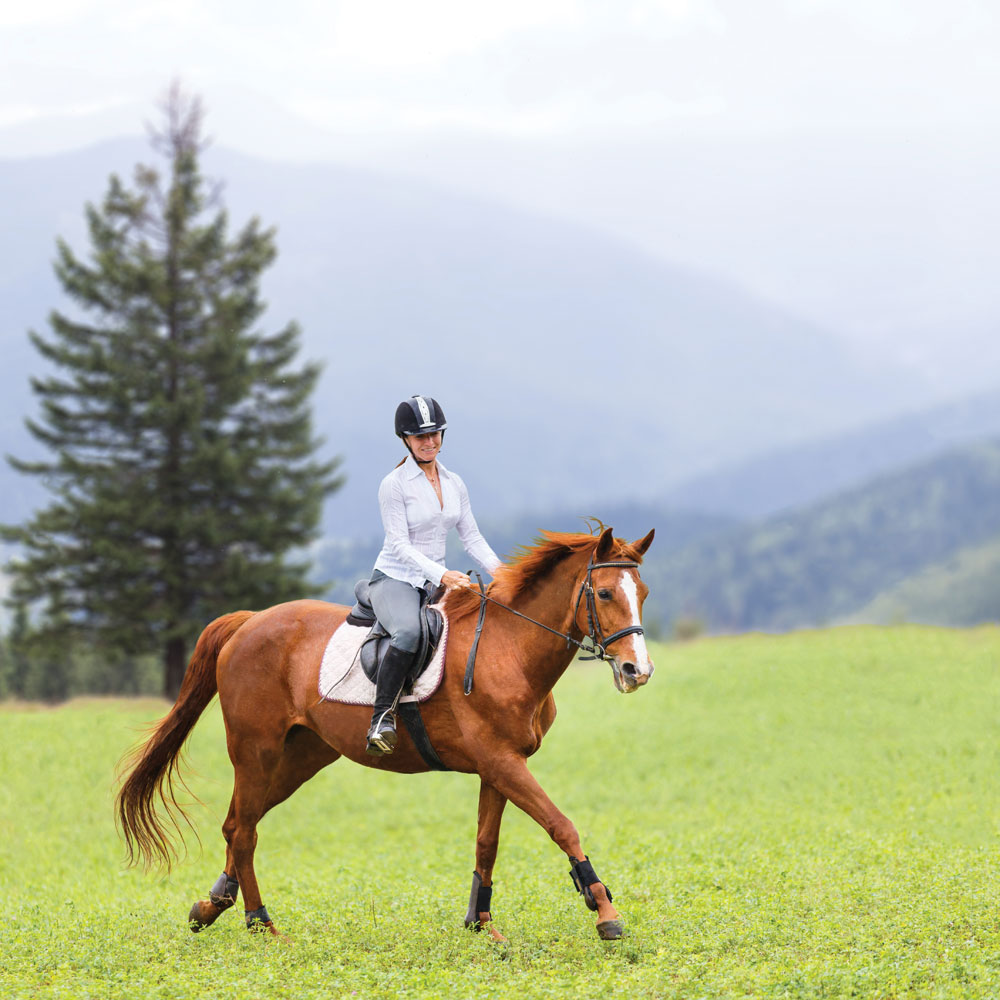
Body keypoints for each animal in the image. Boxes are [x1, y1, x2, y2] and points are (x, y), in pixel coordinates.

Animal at [115, 528, 656, 940]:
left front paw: (481, 925)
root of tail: (249, 622)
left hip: (301, 757)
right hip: (256, 751)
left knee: (237, 824)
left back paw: (212, 906)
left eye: (643, 594)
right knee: (244, 831)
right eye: (604, 593)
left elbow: (487, 844)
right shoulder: (502, 762)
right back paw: (262, 925)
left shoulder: (498, 766)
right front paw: (605, 913)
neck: (509, 647)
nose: (638, 671)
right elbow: (562, 825)